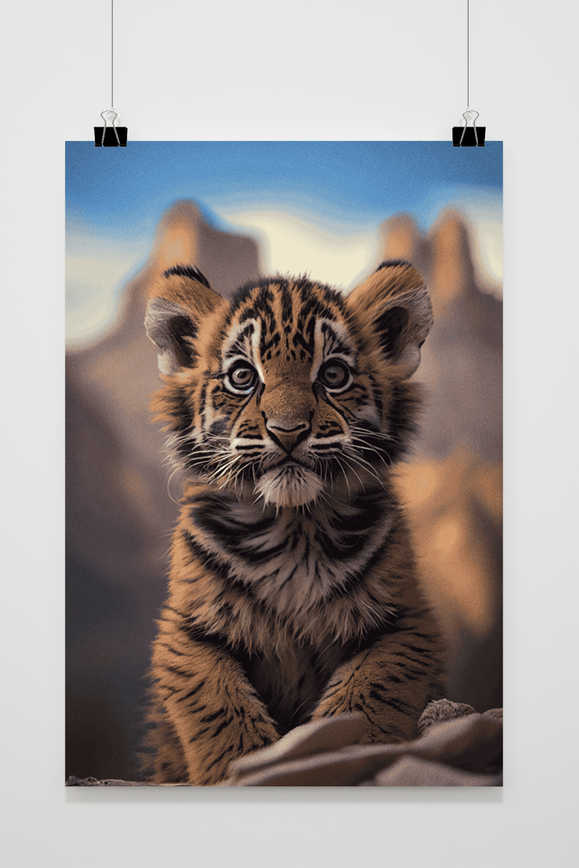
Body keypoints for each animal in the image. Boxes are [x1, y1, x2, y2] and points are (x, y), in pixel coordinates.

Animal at [142, 260, 445, 785]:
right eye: (243, 376)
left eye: (334, 374)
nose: (288, 432)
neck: (293, 527)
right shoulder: (186, 629)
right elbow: (219, 704)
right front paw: (241, 765)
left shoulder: (405, 624)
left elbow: (366, 694)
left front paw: (336, 753)